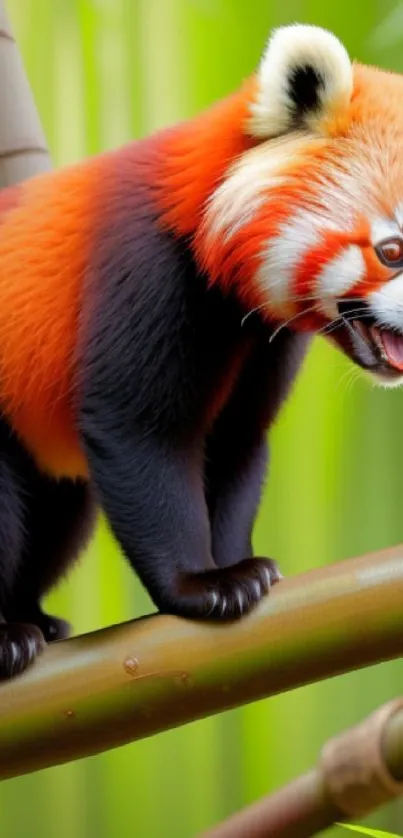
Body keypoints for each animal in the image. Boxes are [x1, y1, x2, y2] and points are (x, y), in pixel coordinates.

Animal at [0, 24, 403, 684]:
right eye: (391, 251)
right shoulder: (146, 268)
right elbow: (139, 434)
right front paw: (198, 583)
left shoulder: (261, 340)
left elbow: (236, 441)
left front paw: (241, 565)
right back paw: (5, 635)